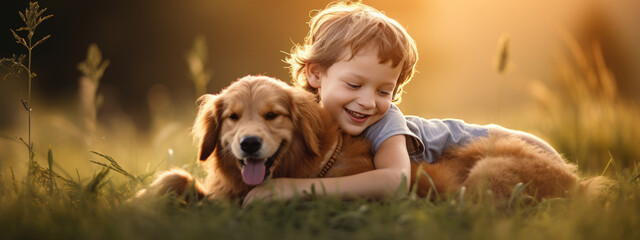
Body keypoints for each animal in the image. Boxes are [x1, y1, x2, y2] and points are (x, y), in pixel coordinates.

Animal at [138, 75, 608, 202]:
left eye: (272, 116)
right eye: (233, 118)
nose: (248, 144)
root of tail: (579, 181)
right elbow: (177, 179)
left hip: (487, 166)